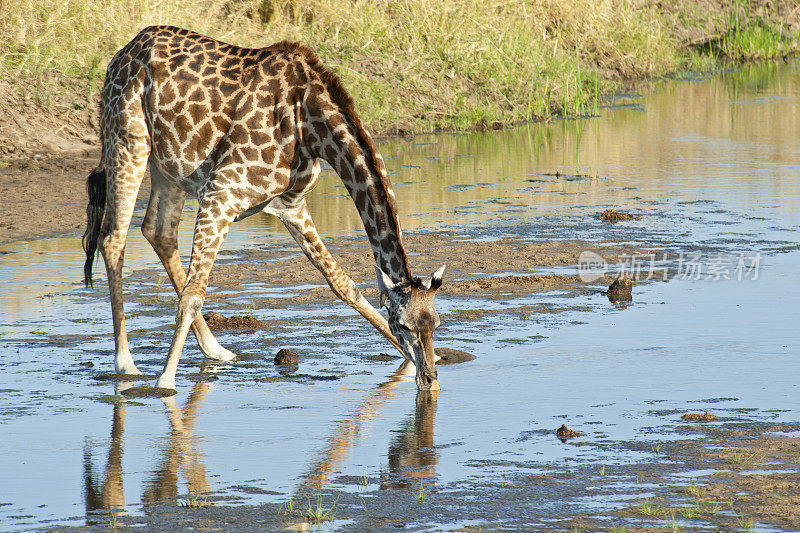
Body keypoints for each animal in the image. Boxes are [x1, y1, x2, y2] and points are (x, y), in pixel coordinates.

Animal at [84, 26, 446, 390]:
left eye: (436, 323)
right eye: (404, 324)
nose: (429, 378)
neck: (309, 125)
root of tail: (125, 51)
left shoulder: (291, 206)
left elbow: (343, 284)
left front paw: (410, 361)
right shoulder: (220, 195)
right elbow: (193, 296)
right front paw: (166, 383)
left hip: (168, 167)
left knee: (158, 232)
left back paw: (215, 349)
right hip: (127, 141)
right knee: (114, 239)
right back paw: (126, 363)